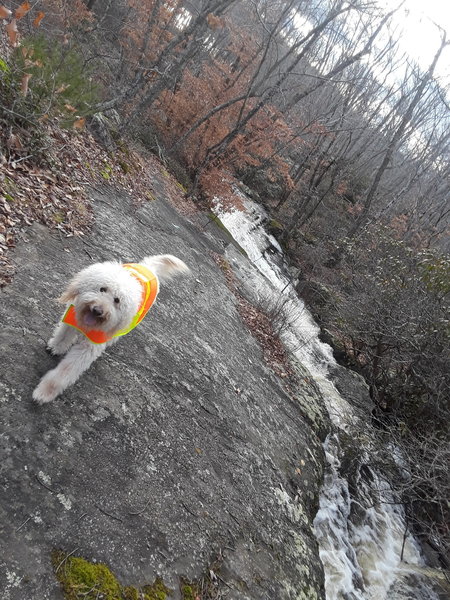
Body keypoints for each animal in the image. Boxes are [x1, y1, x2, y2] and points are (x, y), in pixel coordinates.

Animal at [32, 255, 189, 406]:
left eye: (117, 300)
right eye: (102, 289)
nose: (97, 310)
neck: (89, 325)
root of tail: (148, 267)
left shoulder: (88, 348)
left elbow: (65, 371)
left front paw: (44, 392)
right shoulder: (72, 318)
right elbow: (63, 335)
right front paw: (56, 347)